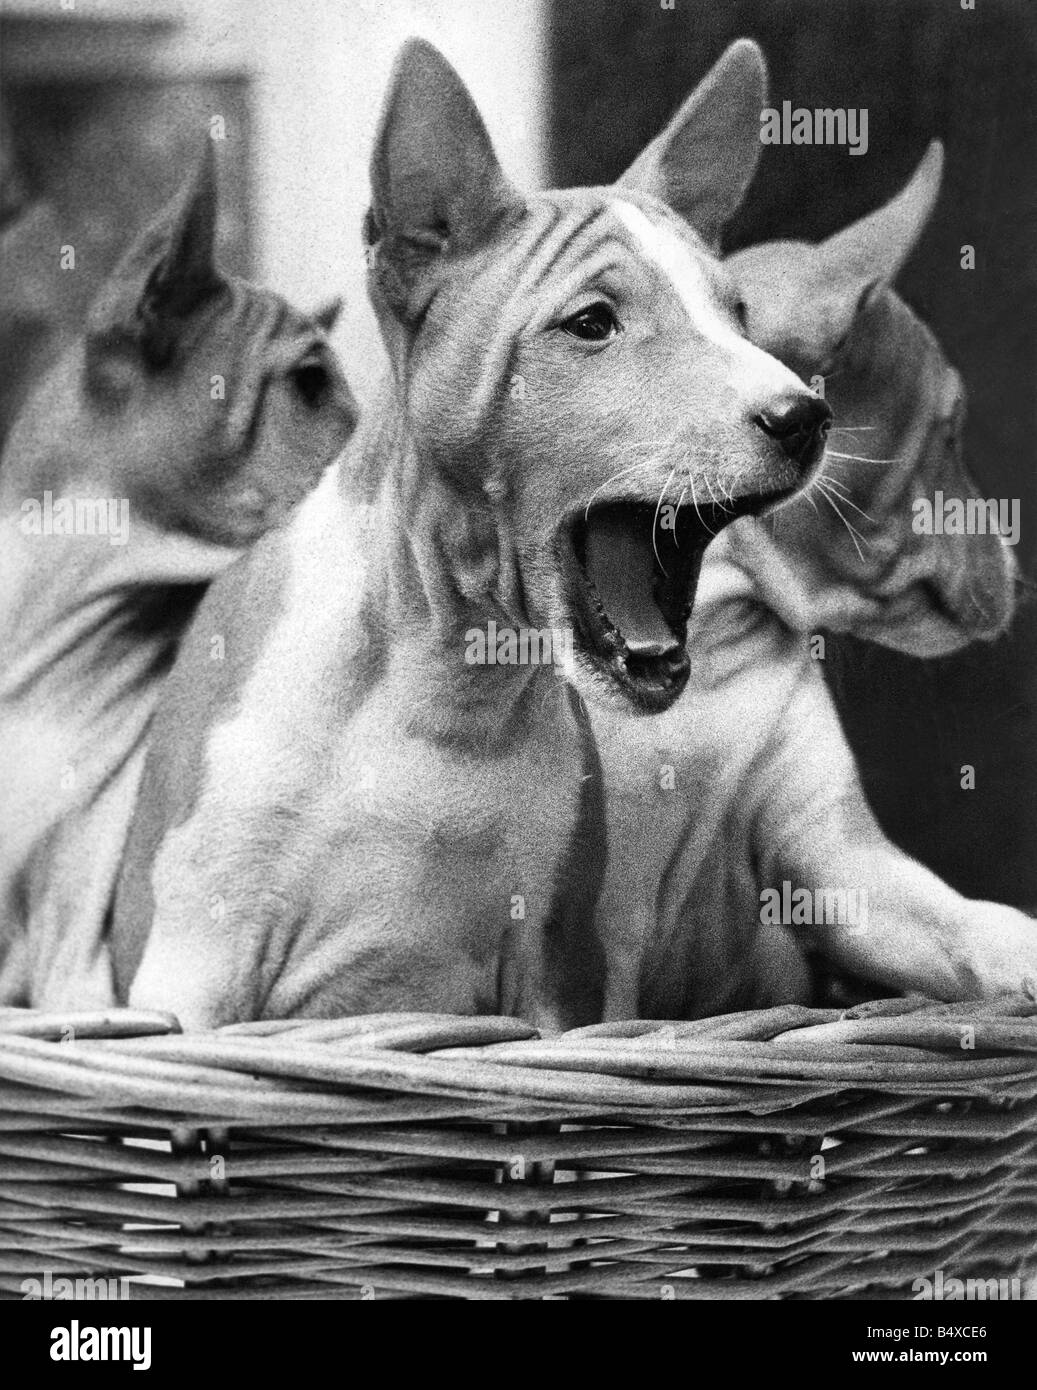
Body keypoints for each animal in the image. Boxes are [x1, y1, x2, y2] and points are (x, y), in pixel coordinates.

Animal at [110, 39, 828, 1030]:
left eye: (737, 317)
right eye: (592, 323)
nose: (804, 416)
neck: (444, 689)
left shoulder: (554, 972)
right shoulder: (195, 971)